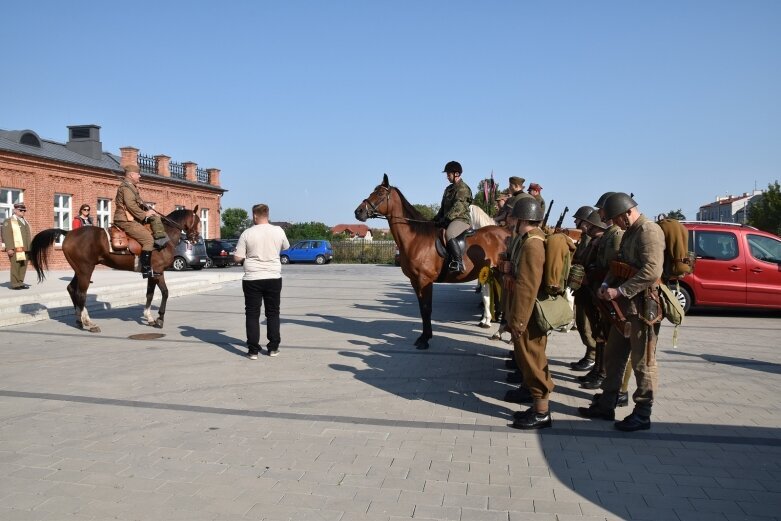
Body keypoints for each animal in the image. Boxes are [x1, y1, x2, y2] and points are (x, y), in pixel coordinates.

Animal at [29, 205, 201, 332]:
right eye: (198, 220)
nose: (196, 238)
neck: (163, 236)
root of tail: (69, 233)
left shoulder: (152, 273)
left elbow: (149, 295)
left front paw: (150, 317)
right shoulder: (158, 272)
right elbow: (165, 293)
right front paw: (160, 319)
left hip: (79, 270)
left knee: (72, 289)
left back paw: (79, 320)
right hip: (85, 270)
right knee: (81, 293)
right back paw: (88, 323)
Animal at [354, 175, 512, 350]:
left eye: (380, 193)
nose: (358, 212)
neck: (416, 238)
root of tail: (508, 232)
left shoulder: (425, 280)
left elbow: (426, 309)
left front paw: (424, 340)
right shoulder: (415, 281)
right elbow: (422, 310)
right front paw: (424, 336)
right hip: (497, 274)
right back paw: (499, 333)